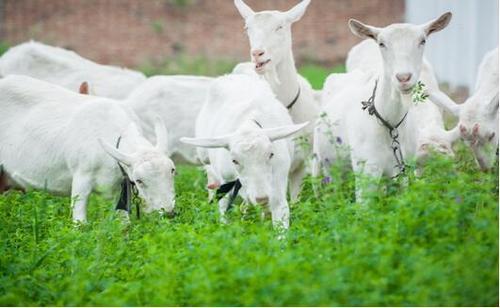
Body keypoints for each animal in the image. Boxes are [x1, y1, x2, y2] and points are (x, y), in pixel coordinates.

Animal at [0, 76, 176, 223]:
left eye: (173, 171)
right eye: (139, 180)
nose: (169, 212)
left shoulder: (121, 186)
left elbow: (123, 223)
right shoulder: (81, 179)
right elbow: (80, 223)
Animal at [180, 74, 304, 229]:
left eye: (271, 154)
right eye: (234, 160)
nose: (262, 198)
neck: (248, 124)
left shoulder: (278, 180)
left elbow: (279, 213)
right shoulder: (226, 179)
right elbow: (223, 206)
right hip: (204, 152)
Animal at [316, 13, 454, 203]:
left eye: (423, 40)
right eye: (381, 43)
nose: (403, 77)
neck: (390, 123)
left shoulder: (401, 170)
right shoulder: (367, 170)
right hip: (328, 166)